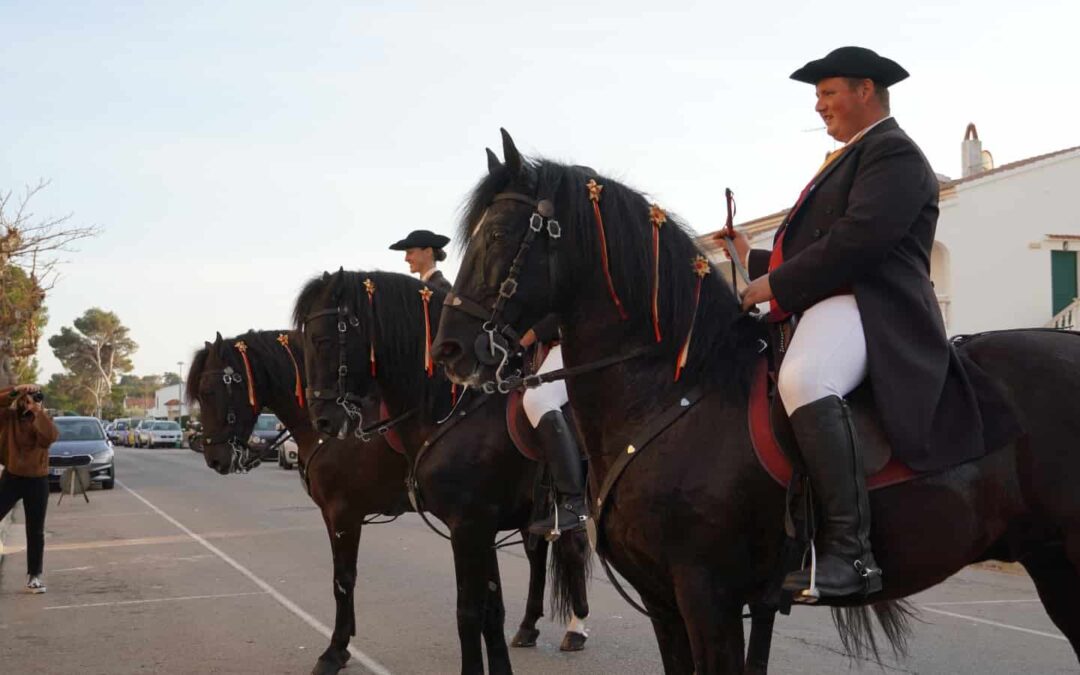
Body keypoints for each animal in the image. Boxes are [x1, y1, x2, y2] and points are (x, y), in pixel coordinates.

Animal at [295, 270, 596, 673]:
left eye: (322, 340)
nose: (324, 422)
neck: (453, 410)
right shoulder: (480, 530)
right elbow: (492, 611)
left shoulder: (465, 526)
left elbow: (467, 613)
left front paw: (333, 652)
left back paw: (576, 630)